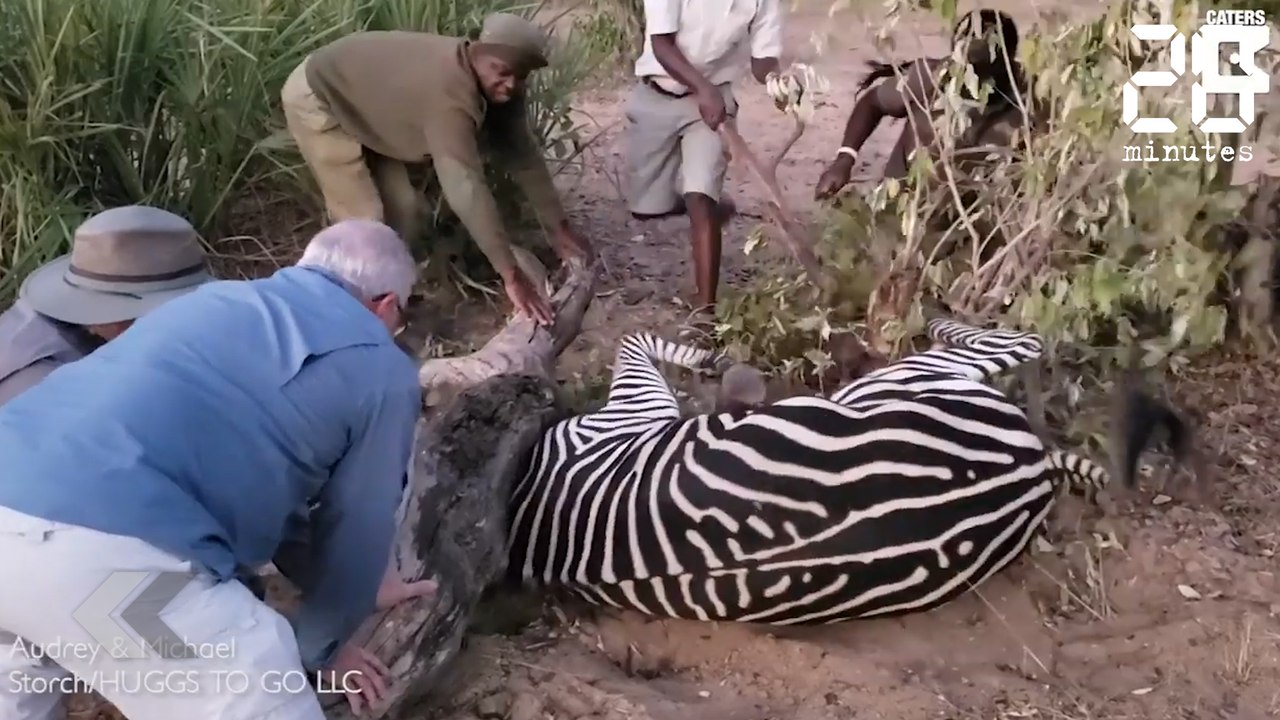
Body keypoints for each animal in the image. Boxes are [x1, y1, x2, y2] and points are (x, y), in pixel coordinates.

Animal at [505, 317, 1180, 625]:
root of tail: (1032, 467)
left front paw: (712, 358)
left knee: (1023, 342)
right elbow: (637, 341)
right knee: (1022, 340)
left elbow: (637, 341)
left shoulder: (624, 418)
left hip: (895, 383)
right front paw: (711, 357)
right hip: (900, 382)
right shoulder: (624, 417)